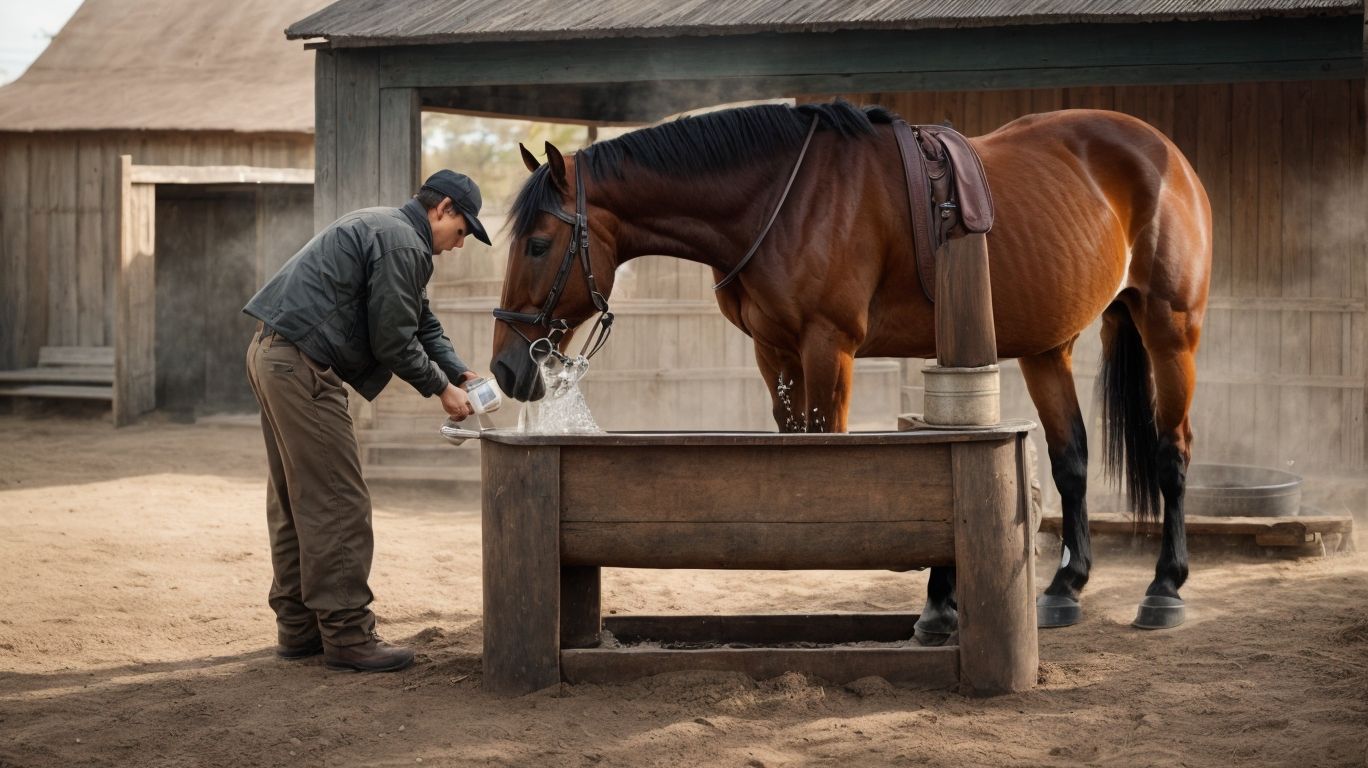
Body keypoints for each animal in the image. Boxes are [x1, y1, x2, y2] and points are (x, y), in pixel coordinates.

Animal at [490, 100, 1212, 633]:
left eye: (538, 243)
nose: (504, 368)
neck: (780, 198)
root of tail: (1166, 154)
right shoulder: (775, 353)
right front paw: (940, 599)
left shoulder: (826, 346)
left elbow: (831, 460)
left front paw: (936, 594)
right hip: (1046, 348)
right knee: (1072, 460)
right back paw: (1066, 587)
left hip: (1171, 329)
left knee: (1173, 452)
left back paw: (1165, 589)